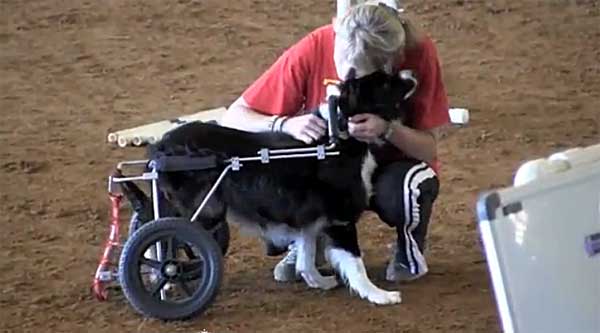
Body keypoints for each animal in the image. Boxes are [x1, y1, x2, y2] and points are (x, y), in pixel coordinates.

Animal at [141, 68, 418, 304]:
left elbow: (306, 256)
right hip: (204, 212)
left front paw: (319, 281)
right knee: (165, 242)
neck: (338, 131)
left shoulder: (310, 218)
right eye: (384, 82)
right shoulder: (341, 218)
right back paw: (165, 280)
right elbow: (356, 264)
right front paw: (379, 295)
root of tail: (161, 146)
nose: (410, 73)